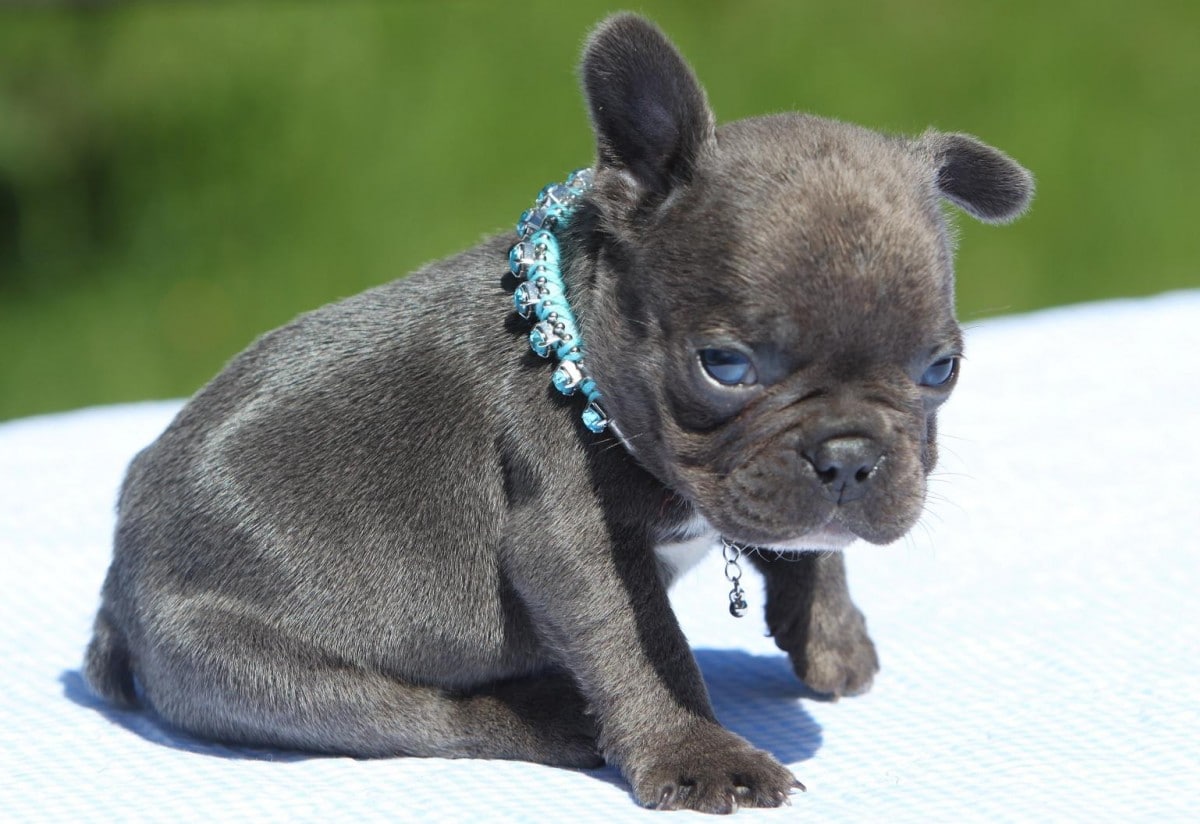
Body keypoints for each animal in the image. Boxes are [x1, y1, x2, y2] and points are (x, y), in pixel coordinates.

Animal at [87, 14, 1032, 820]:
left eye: (941, 370)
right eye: (725, 365)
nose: (849, 457)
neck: (583, 362)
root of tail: (119, 584)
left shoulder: (767, 499)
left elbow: (809, 549)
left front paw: (833, 639)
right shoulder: (575, 542)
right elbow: (647, 650)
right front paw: (703, 755)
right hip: (255, 663)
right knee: (415, 718)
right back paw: (551, 717)